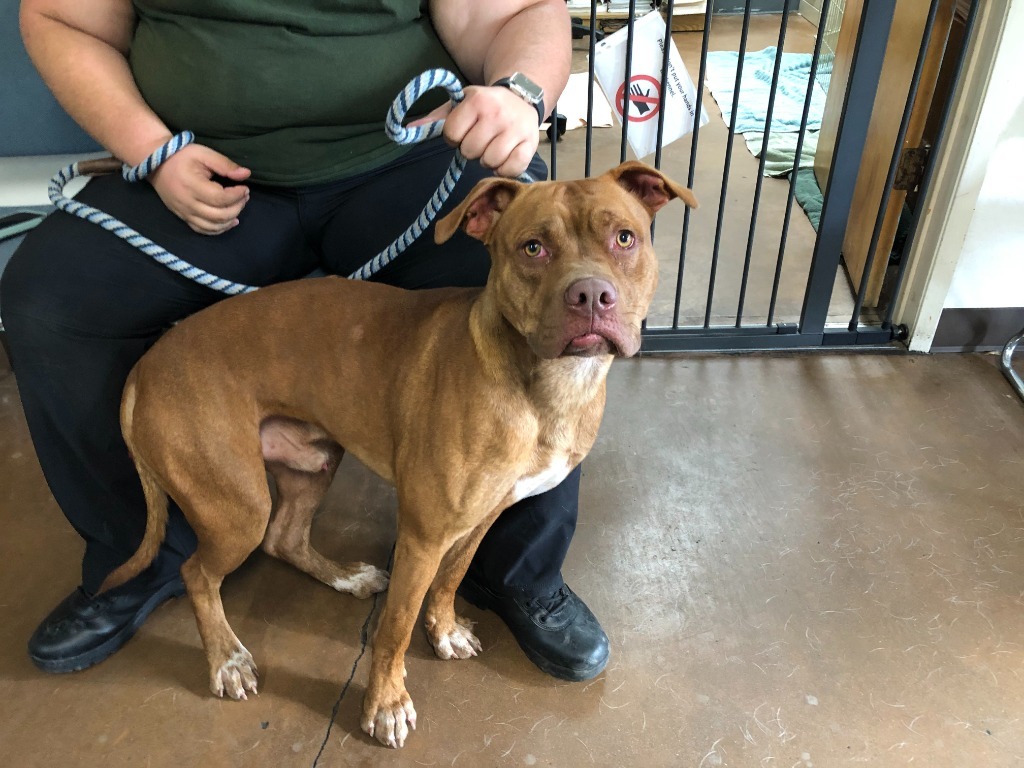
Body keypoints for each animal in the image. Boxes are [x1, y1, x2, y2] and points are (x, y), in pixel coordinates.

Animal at [101, 160, 696, 745]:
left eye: (625, 238)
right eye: (533, 248)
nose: (591, 295)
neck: (546, 390)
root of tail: (144, 366)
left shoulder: (480, 519)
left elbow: (451, 581)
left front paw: (445, 630)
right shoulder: (423, 535)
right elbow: (394, 629)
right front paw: (386, 703)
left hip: (313, 462)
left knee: (284, 538)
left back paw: (343, 577)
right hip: (237, 507)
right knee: (199, 574)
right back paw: (225, 658)